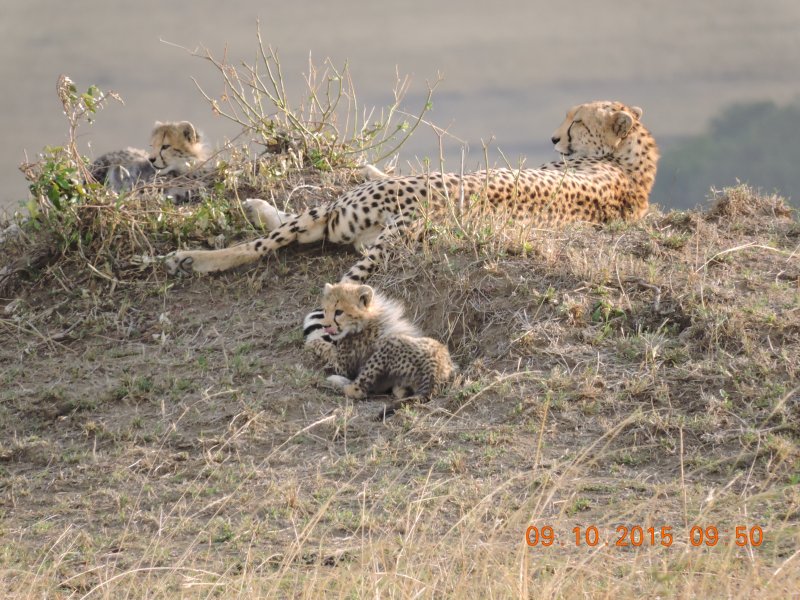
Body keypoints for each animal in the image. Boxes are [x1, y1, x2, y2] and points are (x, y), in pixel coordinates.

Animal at [163, 100, 659, 280]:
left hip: (342, 209)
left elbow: (367, 173)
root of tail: (424, 211)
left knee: (268, 241)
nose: (554, 138)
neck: (630, 162)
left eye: (576, 122)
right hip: (360, 228)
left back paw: (192, 257)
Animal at [314, 282, 456, 419]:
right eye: (325, 310)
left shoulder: (343, 366)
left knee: (356, 391)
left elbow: (327, 349)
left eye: (339, 312)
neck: (364, 321)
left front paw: (313, 341)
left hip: (390, 344)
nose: (325, 326)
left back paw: (333, 382)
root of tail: (435, 370)